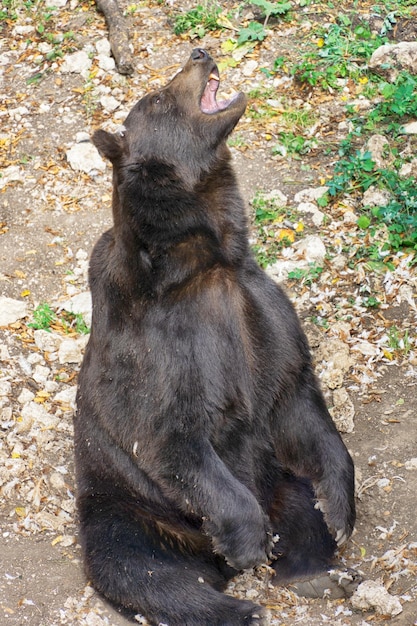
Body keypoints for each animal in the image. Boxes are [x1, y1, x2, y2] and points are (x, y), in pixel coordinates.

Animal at [75, 48, 358, 624]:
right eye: (158, 99)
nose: (200, 52)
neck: (202, 263)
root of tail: (205, 558)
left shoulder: (259, 312)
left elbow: (296, 397)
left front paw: (340, 508)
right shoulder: (158, 346)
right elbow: (168, 436)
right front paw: (247, 542)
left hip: (277, 478)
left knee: (299, 512)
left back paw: (321, 575)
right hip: (124, 508)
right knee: (139, 569)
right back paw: (239, 605)